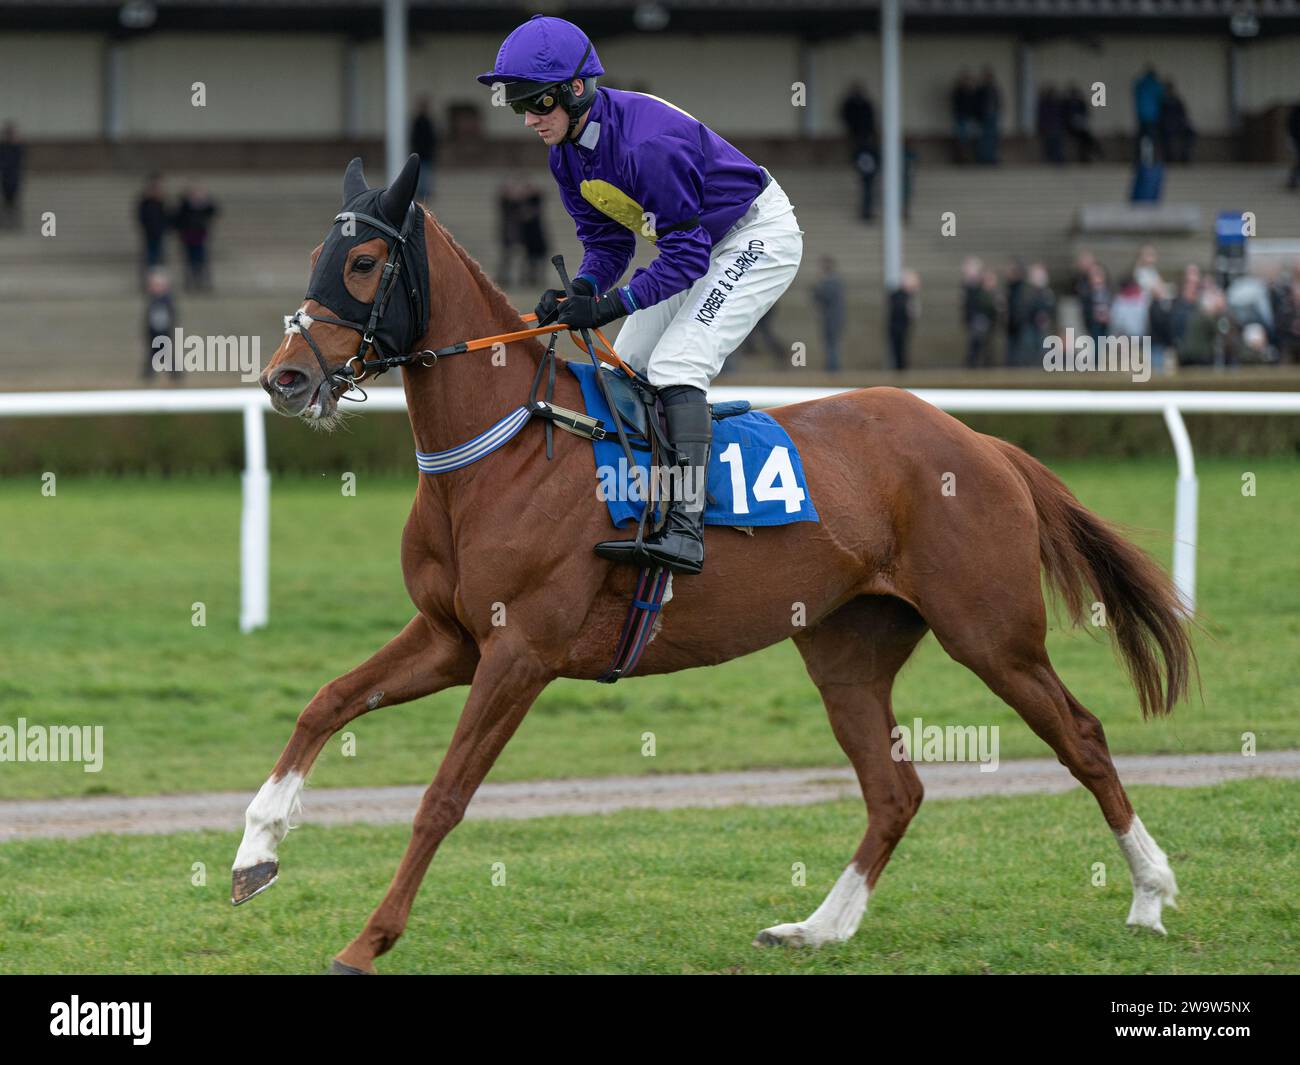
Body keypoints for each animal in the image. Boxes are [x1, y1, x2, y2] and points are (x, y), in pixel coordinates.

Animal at [236, 156, 1196, 972]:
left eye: (363, 261)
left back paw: (1150, 893)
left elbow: (442, 795)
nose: (284, 379)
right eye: (321, 255)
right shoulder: (451, 637)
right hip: (847, 650)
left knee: (1082, 736)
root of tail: (982, 441)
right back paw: (817, 926)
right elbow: (325, 703)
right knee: (896, 789)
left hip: (991, 632)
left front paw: (365, 940)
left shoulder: (519, 653)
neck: (508, 445)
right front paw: (255, 850)